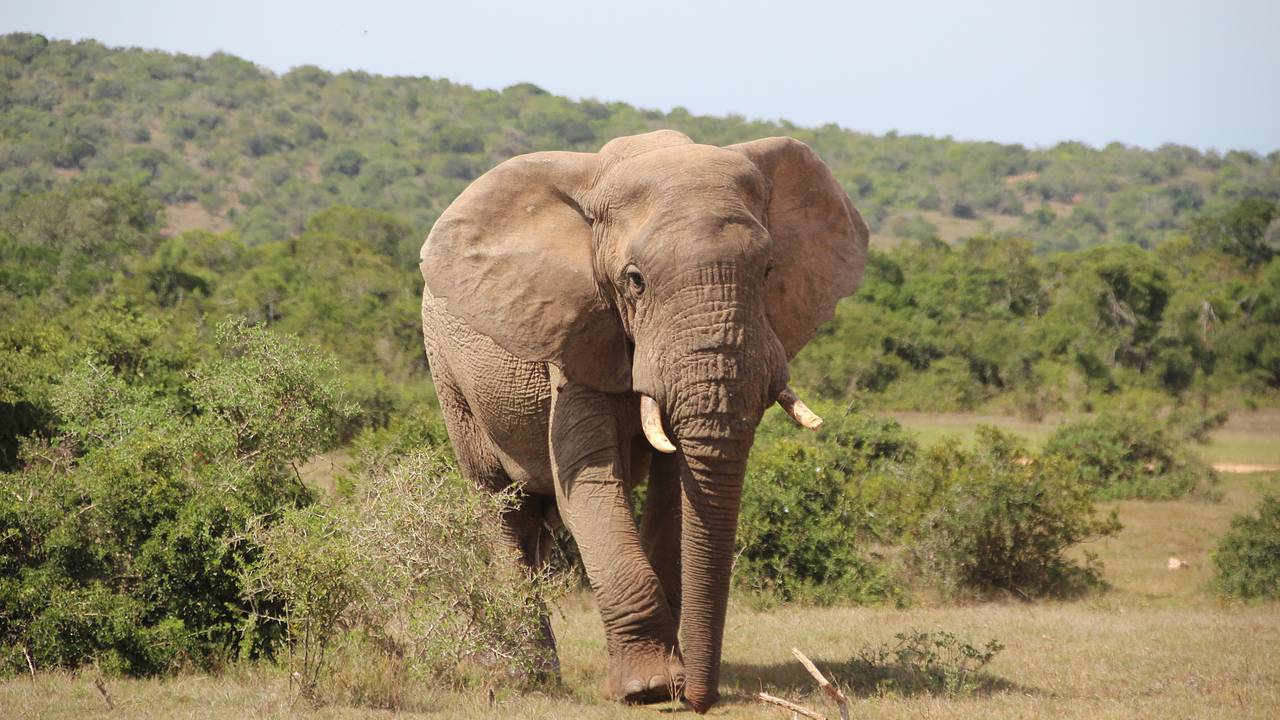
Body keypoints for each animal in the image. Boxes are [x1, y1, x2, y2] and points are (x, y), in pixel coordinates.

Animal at [418, 129, 868, 712]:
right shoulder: (576, 330)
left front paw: (663, 679)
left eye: (769, 271)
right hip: (448, 373)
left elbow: (676, 493)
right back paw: (523, 676)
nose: (701, 700)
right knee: (502, 507)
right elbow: (588, 481)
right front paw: (649, 689)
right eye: (635, 281)